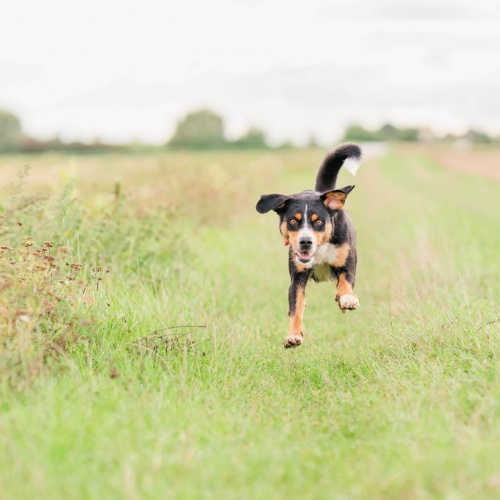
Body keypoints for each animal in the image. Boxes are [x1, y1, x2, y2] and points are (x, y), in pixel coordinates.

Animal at [256, 144, 362, 348]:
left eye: (318, 221)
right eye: (293, 221)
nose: (305, 241)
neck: (319, 251)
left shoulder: (346, 265)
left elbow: (345, 283)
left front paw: (347, 298)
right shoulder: (297, 277)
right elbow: (296, 306)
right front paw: (293, 335)